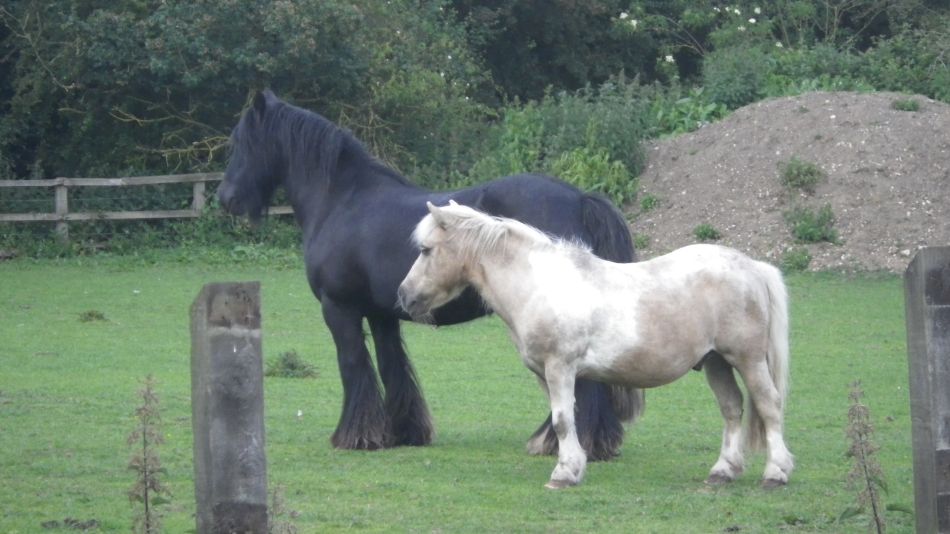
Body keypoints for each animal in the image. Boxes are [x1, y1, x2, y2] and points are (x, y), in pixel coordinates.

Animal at [218, 90, 643, 460]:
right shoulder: (383, 314)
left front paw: (356, 436)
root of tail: (579, 198)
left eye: (241, 141)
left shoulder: (338, 308)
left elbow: (353, 364)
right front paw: (403, 432)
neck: (342, 200)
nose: (226, 198)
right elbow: (393, 366)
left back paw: (570, 442)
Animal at [398, 201, 794, 489]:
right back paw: (723, 471)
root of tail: (752, 267)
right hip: (716, 362)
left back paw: (776, 472)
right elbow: (563, 419)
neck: (538, 285)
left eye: (426, 250)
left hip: (748, 359)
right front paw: (572, 466)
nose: (404, 296)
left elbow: (561, 421)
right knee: (731, 408)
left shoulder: (560, 367)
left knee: (769, 405)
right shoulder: (546, 373)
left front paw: (564, 474)